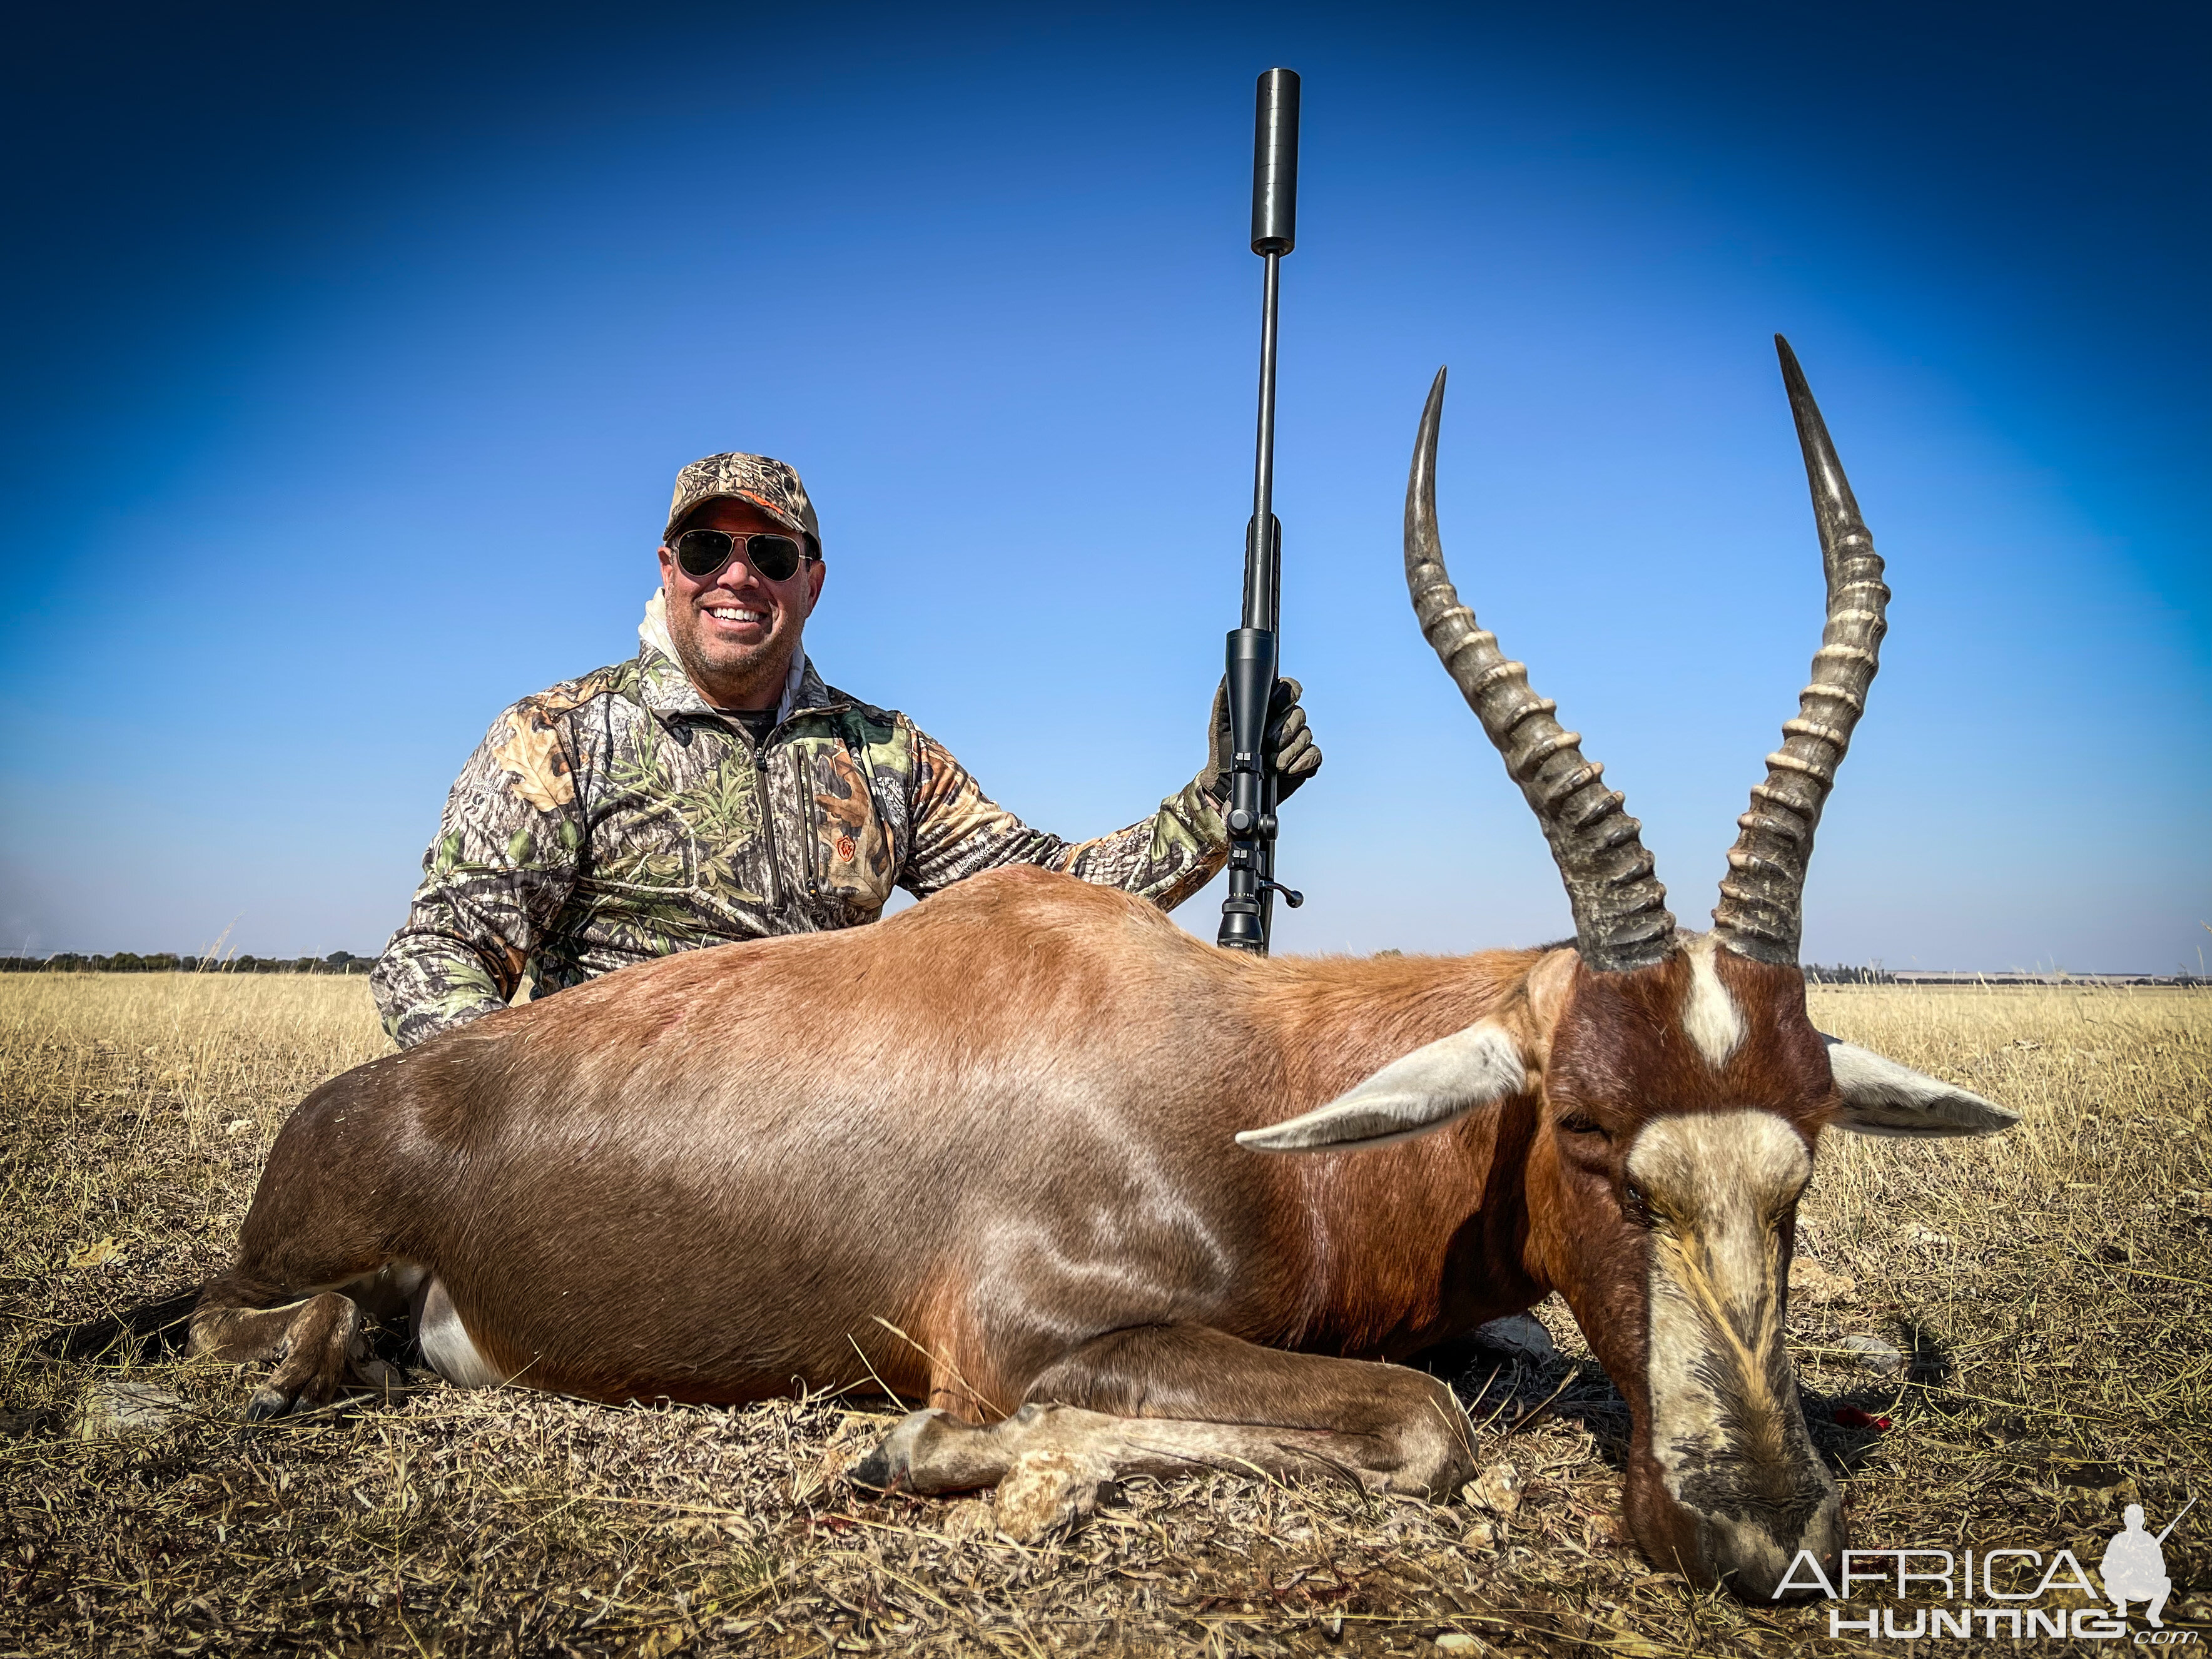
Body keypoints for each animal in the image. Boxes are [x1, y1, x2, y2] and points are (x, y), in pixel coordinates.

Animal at [199, 338, 2017, 1601]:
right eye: (1584, 1129)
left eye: (1809, 1142)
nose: (1766, 1537)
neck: (1250, 1076)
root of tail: (350, 1107)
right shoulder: (1032, 1330)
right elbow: (1413, 1421)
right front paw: (918, 1451)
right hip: (298, 1290)